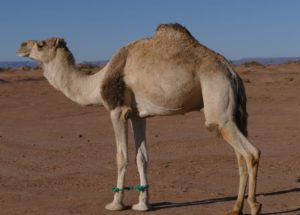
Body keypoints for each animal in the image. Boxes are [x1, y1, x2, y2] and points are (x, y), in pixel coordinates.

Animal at [17, 22, 262, 214]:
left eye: (41, 44)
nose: (21, 46)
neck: (96, 83)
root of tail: (231, 71)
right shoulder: (137, 115)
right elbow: (142, 158)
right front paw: (143, 204)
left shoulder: (117, 110)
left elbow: (121, 156)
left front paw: (115, 203)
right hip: (234, 114)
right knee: (239, 155)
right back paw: (235, 208)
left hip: (217, 101)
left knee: (250, 152)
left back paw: (254, 205)